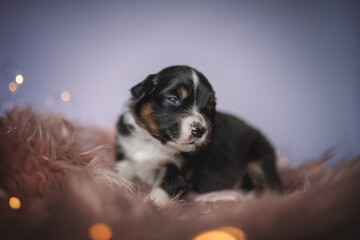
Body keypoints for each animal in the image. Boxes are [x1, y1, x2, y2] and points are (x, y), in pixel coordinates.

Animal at [116, 65, 282, 204]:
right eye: (174, 99)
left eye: (208, 108)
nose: (200, 130)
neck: (153, 143)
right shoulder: (126, 153)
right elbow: (120, 172)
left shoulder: (179, 170)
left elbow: (161, 189)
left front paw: (151, 205)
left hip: (259, 160)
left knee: (269, 190)